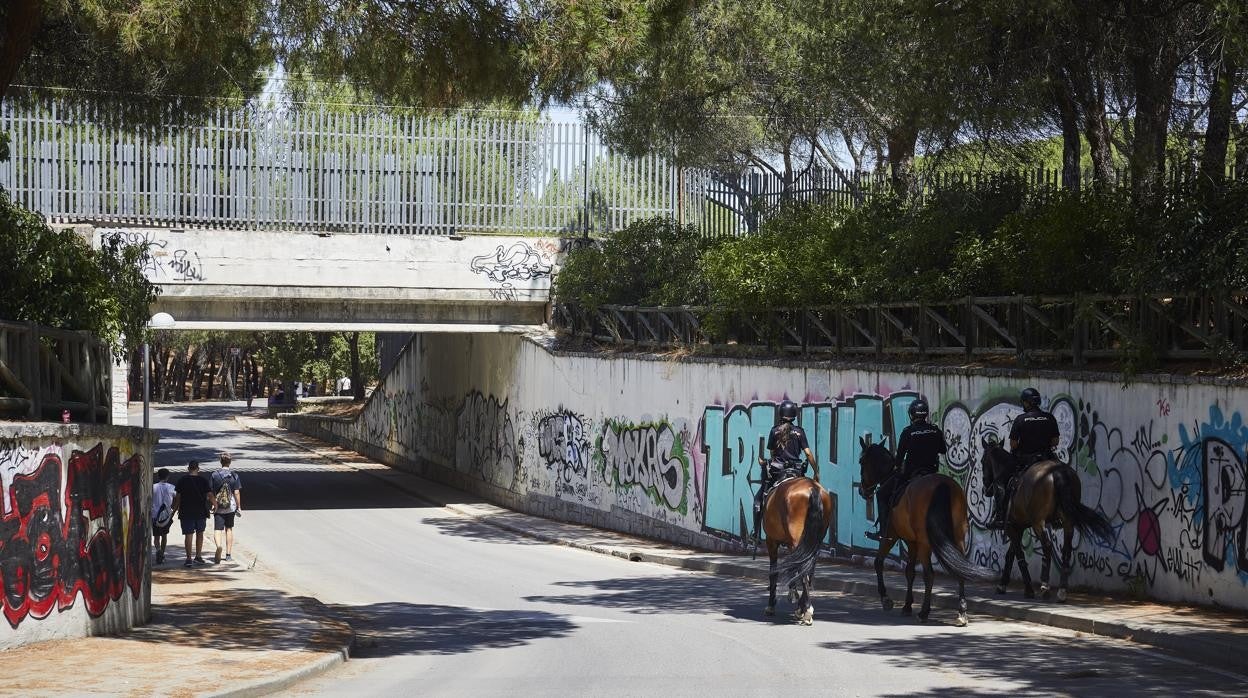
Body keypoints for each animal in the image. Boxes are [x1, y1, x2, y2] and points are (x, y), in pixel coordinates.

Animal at [758, 476, 828, 624]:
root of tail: (812, 487)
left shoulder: (771, 541)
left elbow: (774, 572)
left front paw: (771, 605)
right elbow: (793, 570)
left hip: (797, 539)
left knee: (803, 571)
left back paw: (806, 610)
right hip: (814, 541)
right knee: (807, 570)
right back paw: (805, 608)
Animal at [853, 437, 978, 629]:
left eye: (861, 461)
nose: (862, 490)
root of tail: (942, 485)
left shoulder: (892, 536)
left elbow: (878, 562)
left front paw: (886, 599)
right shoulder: (912, 542)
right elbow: (910, 571)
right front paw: (907, 605)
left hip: (925, 543)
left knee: (929, 575)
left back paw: (924, 612)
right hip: (958, 538)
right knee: (960, 570)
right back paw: (961, 612)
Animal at [983, 442, 1113, 601]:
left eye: (982, 461)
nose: (986, 488)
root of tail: (1057, 472)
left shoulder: (1012, 526)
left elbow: (1018, 555)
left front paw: (1027, 589)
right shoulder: (1019, 527)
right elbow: (1011, 554)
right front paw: (1003, 584)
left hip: (1038, 522)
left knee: (1047, 546)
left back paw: (1045, 586)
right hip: (1067, 521)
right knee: (1066, 549)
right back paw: (1062, 590)